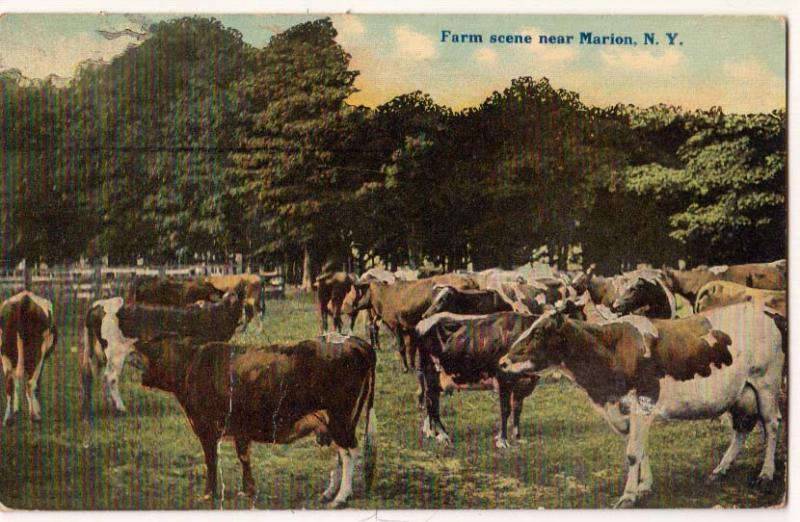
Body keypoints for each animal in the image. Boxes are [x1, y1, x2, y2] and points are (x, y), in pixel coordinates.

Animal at [0, 290, 57, 424]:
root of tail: (24, 299)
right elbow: (37, 382)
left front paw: (17, 409)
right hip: (38, 352)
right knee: (31, 382)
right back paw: (34, 416)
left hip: (5, 352)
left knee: (9, 382)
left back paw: (7, 418)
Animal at [81, 282, 245, 416]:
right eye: (230, 298)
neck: (214, 316)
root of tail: (101, 303)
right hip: (116, 353)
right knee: (110, 377)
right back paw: (121, 408)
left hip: (100, 354)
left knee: (99, 376)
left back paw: (109, 405)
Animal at [133, 332, 376, 506]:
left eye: (153, 344)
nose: (136, 340)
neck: (192, 364)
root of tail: (354, 341)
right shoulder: (241, 428)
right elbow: (244, 456)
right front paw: (247, 490)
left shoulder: (206, 427)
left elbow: (211, 460)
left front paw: (208, 493)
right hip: (334, 421)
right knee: (341, 454)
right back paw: (329, 493)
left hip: (340, 417)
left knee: (349, 452)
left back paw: (341, 497)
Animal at [416, 308, 540, 446]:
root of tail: (423, 323)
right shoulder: (504, 379)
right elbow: (505, 410)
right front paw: (502, 440)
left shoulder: (522, 385)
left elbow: (517, 409)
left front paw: (517, 437)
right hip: (432, 373)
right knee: (433, 402)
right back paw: (443, 435)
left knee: (431, 402)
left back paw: (431, 433)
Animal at [500, 298, 780, 506]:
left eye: (537, 332)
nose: (502, 362)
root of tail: (764, 310)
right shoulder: (622, 411)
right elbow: (641, 448)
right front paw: (644, 486)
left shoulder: (643, 403)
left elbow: (633, 452)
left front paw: (628, 496)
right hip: (740, 392)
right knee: (742, 428)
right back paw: (720, 469)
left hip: (766, 382)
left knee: (771, 423)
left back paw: (766, 474)